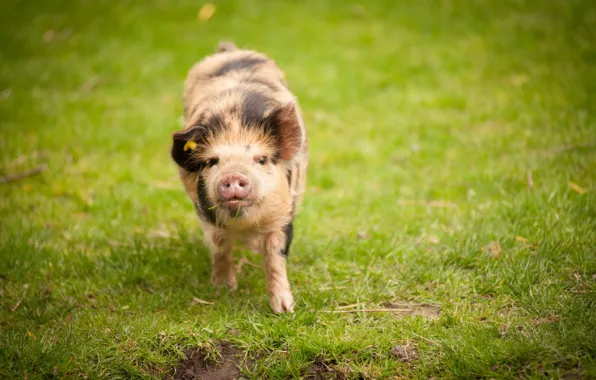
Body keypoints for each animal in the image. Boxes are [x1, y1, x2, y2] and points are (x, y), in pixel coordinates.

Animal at [169, 43, 304, 314]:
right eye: (212, 161)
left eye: (261, 159)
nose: (233, 175)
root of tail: (230, 49)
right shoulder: (207, 216)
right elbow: (220, 246)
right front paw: (224, 290)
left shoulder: (283, 214)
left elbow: (275, 256)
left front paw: (285, 310)